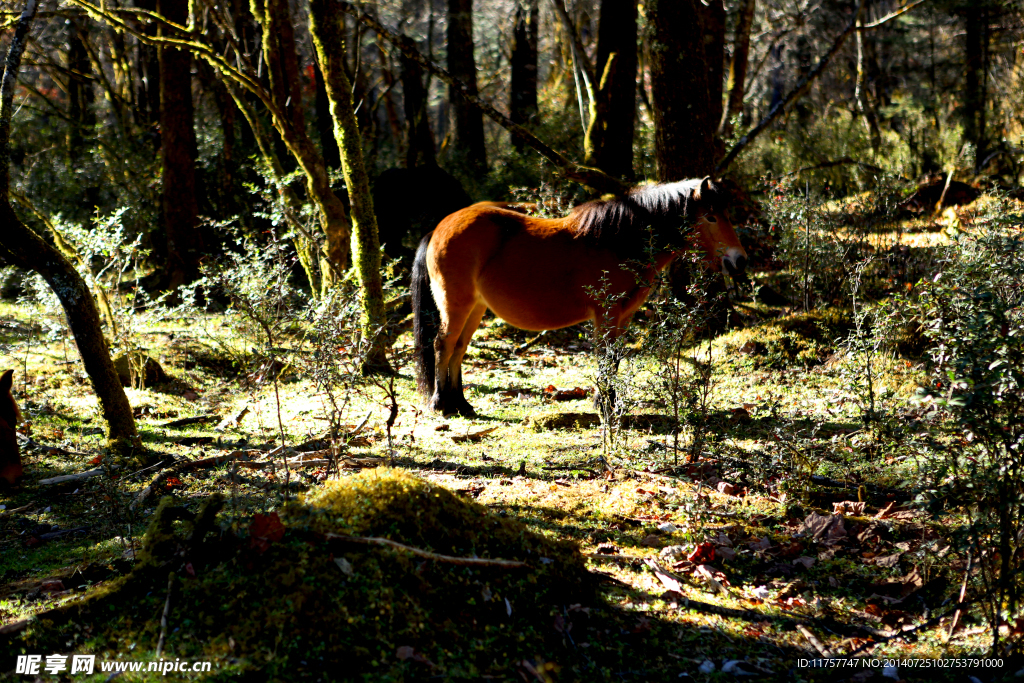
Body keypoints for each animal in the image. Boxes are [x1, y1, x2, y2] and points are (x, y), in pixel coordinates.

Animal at [411, 176, 749, 419]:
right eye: (711, 217)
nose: (739, 260)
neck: (618, 242)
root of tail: (439, 228)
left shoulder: (623, 315)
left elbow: (614, 358)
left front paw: (611, 402)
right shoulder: (607, 313)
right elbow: (606, 358)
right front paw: (605, 405)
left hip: (476, 307)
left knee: (459, 348)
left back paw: (461, 404)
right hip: (456, 304)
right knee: (443, 344)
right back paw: (441, 403)